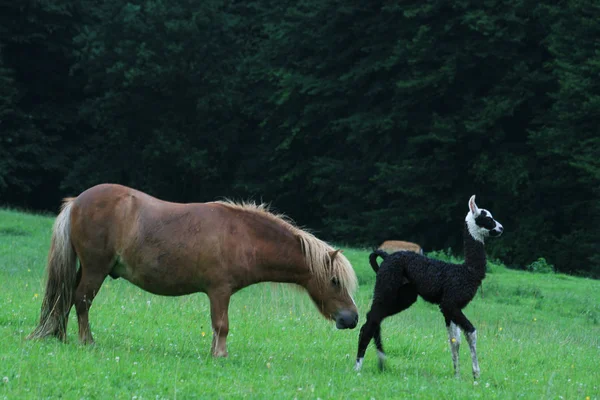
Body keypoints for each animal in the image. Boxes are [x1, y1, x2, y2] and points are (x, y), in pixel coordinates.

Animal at [27, 184, 356, 356]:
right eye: (335, 281)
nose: (351, 318)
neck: (241, 236)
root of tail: (76, 201)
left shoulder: (219, 293)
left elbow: (217, 326)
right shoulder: (220, 291)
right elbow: (222, 325)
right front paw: (220, 356)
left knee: (65, 299)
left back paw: (61, 337)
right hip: (95, 270)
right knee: (81, 300)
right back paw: (87, 342)